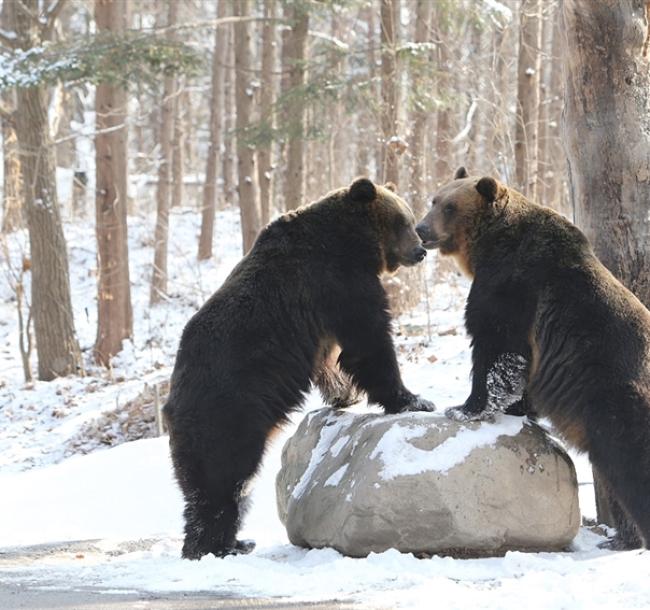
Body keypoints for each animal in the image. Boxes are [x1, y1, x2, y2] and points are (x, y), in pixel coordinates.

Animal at [165, 176, 432, 556]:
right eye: (404, 221)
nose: (420, 250)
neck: (350, 240)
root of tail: (171, 403)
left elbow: (331, 357)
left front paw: (345, 395)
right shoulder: (336, 277)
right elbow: (368, 339)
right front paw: (412, 399)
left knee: (212, 486)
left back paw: (232, 541)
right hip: (228, 412)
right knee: (225, 477)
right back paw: (218, 546)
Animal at [416, 165, 648, 548]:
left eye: (449, 206)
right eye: (433, 199)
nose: (421, 229)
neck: (489, 244)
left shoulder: (514, 283)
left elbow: (497, 347)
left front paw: (465, 407)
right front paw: (518, 408)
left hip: (616, 401)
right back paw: (619, 539)